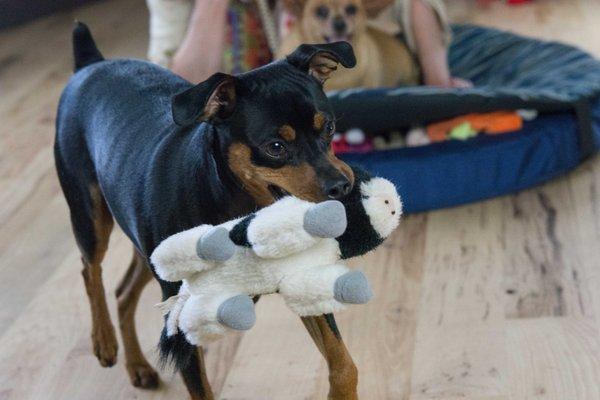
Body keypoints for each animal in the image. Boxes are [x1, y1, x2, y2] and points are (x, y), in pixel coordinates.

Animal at [54, 23, 360, 398]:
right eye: (275, 147)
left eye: (328, 127)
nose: (342, 186)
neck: (239, 213)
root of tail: (91, 63)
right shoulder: (179, 325)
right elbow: (202, 390)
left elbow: (344, 365)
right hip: (89, 215)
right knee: (90, 269)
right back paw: (104, 341)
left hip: (146, 250)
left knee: (123, 292)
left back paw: (138, 366)